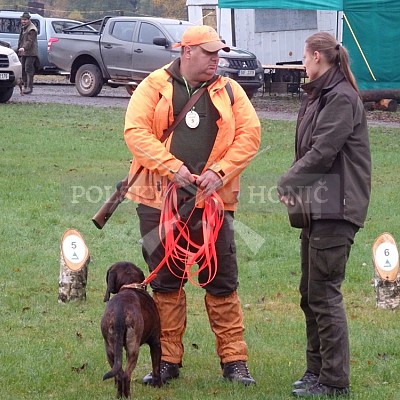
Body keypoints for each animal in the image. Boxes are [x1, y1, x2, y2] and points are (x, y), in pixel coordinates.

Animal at [101, 260, 162, 398]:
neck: (130, 285)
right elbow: (156, 368)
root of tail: (120, 311)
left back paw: (119, 395)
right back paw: (127, 395)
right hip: (133, 348)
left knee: (119, 374)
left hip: (110, 348)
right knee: (126, 375)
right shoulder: (155, 342)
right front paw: (158, 386)